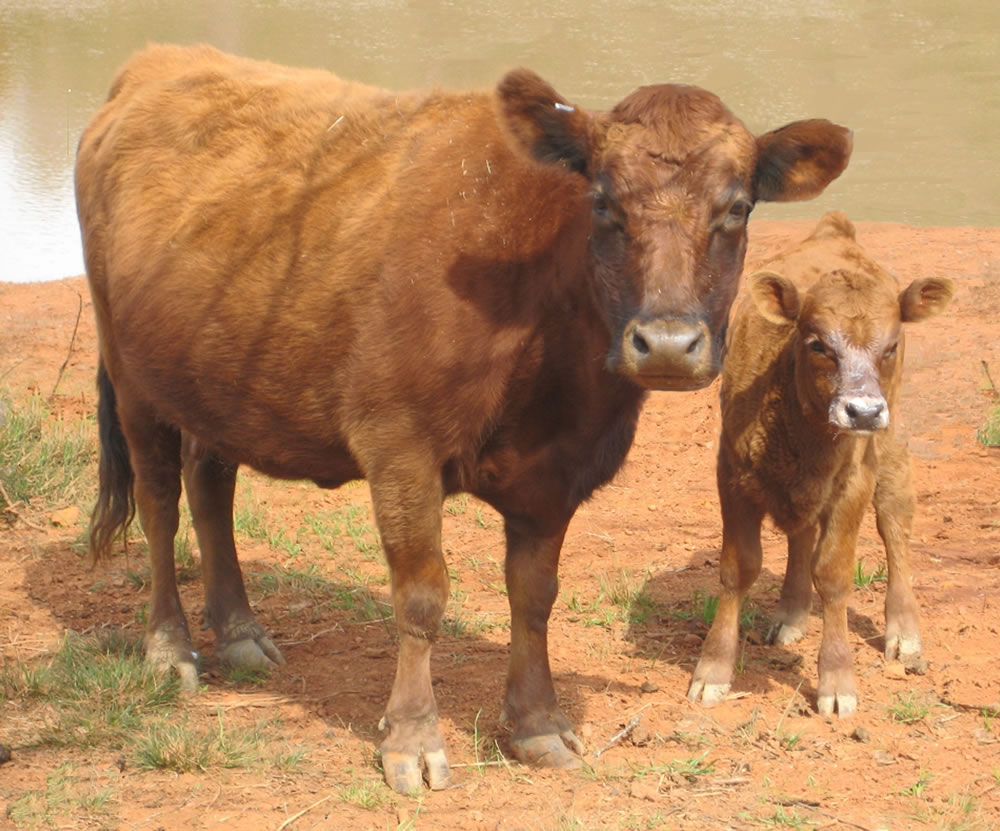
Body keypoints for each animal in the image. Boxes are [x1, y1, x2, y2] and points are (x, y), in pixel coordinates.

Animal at [74, 42, 848, 788]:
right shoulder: (399, 447)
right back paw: (170, 649)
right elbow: (421, 598)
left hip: (218, 384)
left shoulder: (558, 472)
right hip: (133, 377)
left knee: (211, 488)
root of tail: (155, 62)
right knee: (159, 504)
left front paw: (537, 723)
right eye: (602, 202)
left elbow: (535, 595)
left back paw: (238, 631)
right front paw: (413, 740)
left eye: (737, 208)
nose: (665, 343)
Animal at [688, 211, 952, 720]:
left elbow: (832, 574)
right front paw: (713, 670)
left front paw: (836, 679)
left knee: (895, 523)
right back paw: (791, 613)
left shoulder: (853, 483)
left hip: (890, 448)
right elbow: (738, 568)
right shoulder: (732, 476)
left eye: (891, 345)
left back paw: (904, 632)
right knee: (802, 535)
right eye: (817, 344)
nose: (863, 412)